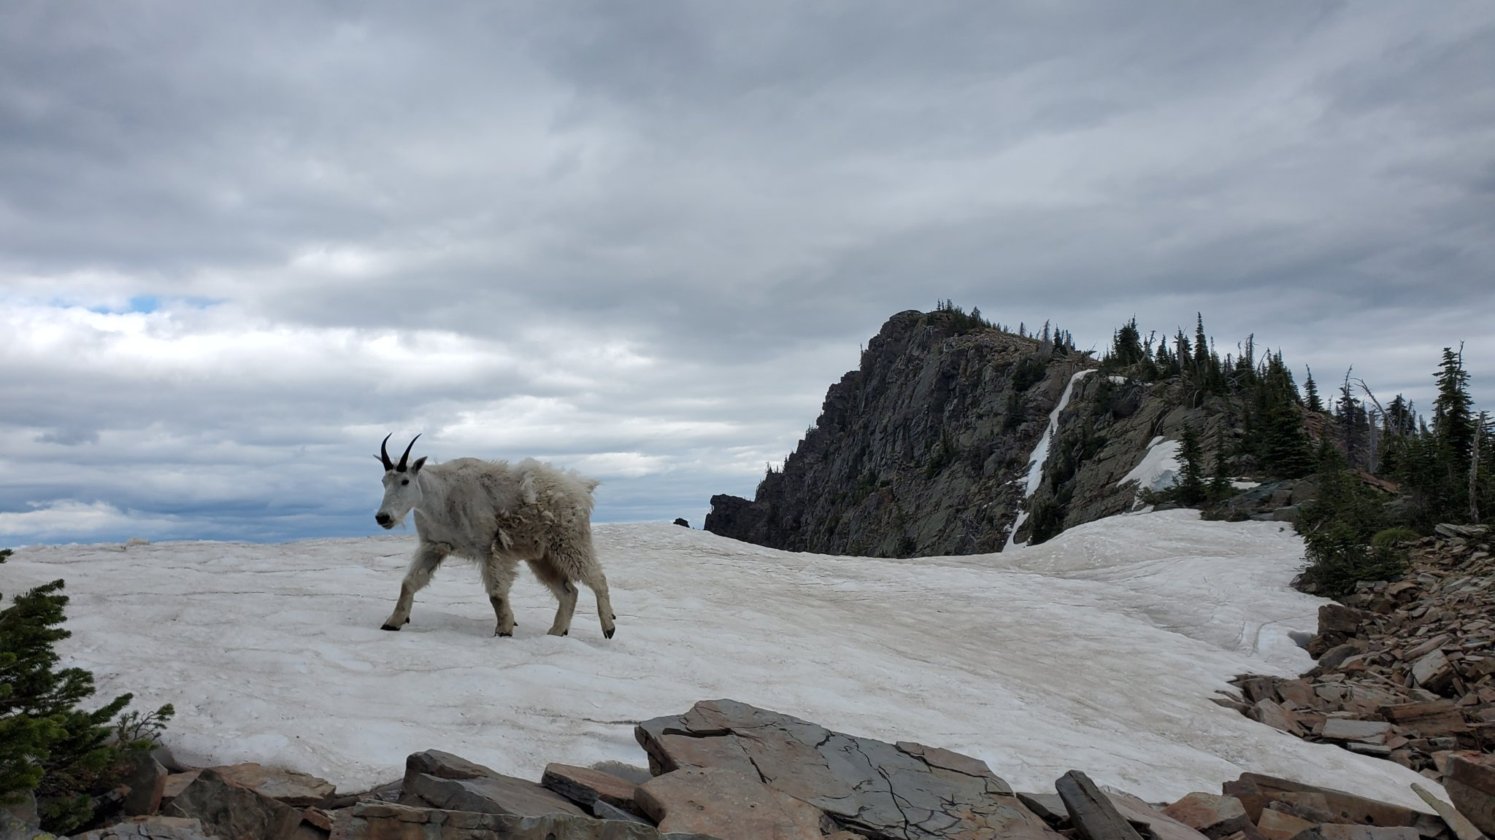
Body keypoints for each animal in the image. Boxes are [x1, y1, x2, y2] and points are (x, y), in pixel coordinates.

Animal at [373, 434, 616, 639]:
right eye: (383, 482)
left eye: (405, 481)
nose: (383, 517)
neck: (440, 497)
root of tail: (581, 491)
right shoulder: (434, 546)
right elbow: (409, 583)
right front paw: (392, 622)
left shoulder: (490, 548)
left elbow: (497, 594)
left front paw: (504, 629)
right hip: (541, 557)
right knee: (568, 592)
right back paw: (557, 631)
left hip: (569, 543)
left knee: (597, 578)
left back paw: (608, 626)